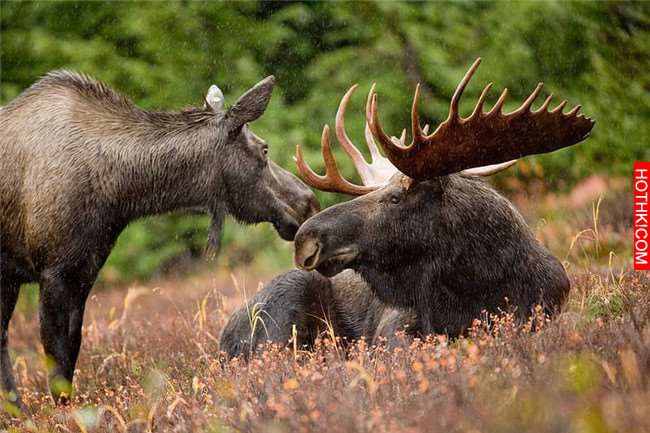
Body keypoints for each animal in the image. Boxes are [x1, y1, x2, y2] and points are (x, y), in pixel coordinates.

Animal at [0, 71, 319, 407]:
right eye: (264, 149)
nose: (307, 202)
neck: (119, 194)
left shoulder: (83, 271)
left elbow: (72, 349)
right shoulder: (53, 272)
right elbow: (58, 361)